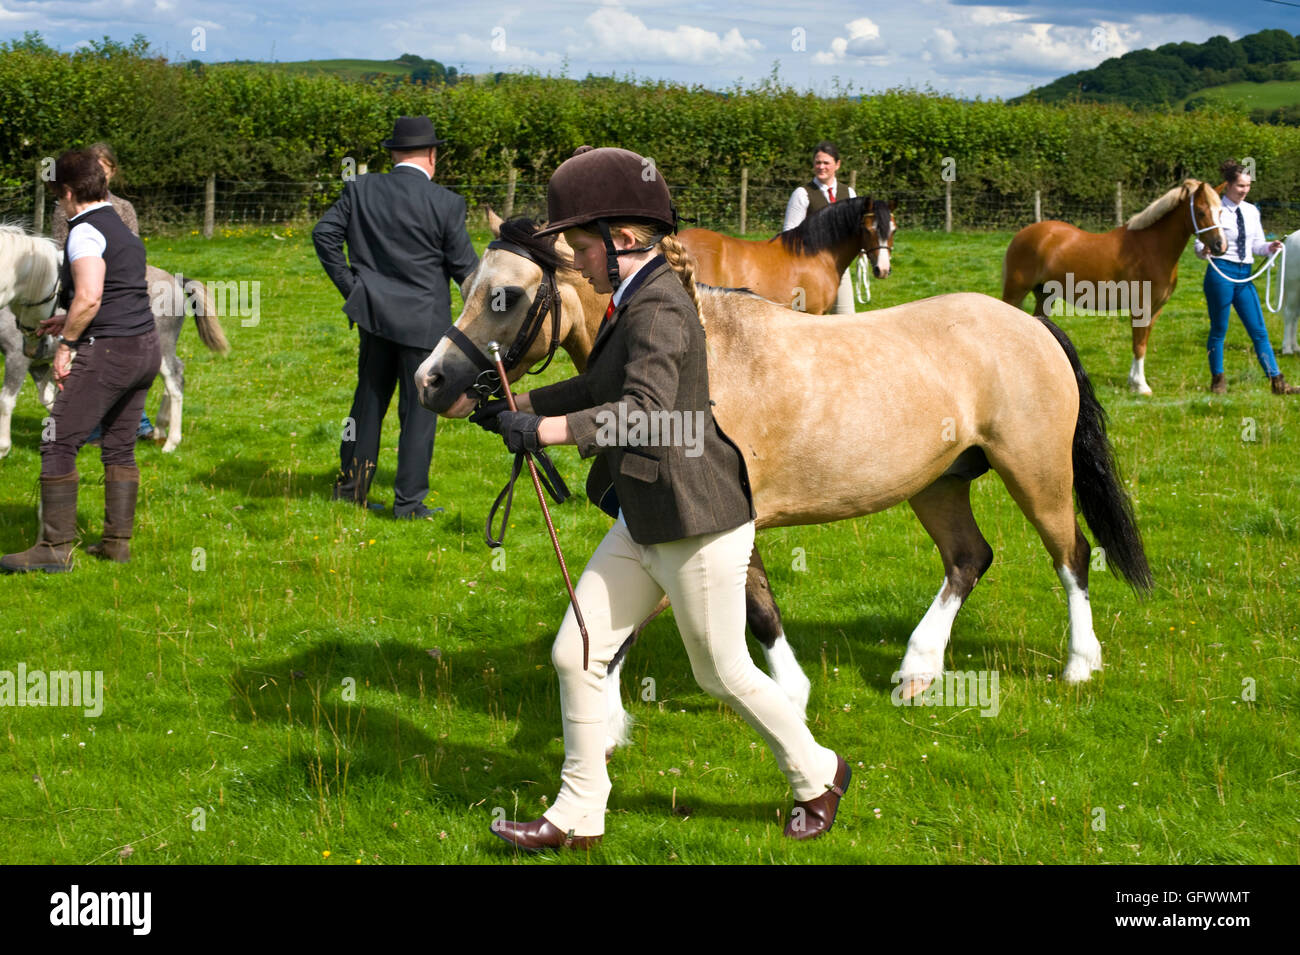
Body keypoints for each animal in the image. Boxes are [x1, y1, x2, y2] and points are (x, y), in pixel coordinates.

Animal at [0, 226, 230, 457]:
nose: (36, 345)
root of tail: (173, 280)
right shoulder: (38, 364)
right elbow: (49, 398)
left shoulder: (17, 359)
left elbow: (6, 401)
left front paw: (4, 448)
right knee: (177, 371)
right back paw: (159, 428)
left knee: (174, 380)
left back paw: (171, 442)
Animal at [414, 217, 1153, 750]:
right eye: (468, 285)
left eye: (505, 295)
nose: (431, 380)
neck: (703, 363)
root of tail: (1033, 324)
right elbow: (672, 616)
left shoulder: (708, 529)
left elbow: (727, 614)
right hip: (938, 484)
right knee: (969, 559)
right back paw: (918, 668)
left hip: (1037, 473)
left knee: (1072, 555)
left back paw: (1079, 662)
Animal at [1001, 179, 1226, 395]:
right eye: (1201, 212)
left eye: (1220, 212)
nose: (1220, 246)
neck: (1151, 247)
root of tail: (1021, 235)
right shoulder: (1141, 308)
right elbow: (1139, 344)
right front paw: (1140, 386)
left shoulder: (1155, 310)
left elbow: (1143, 342)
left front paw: (1134, 382)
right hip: (1015, 292)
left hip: (1044, 294)